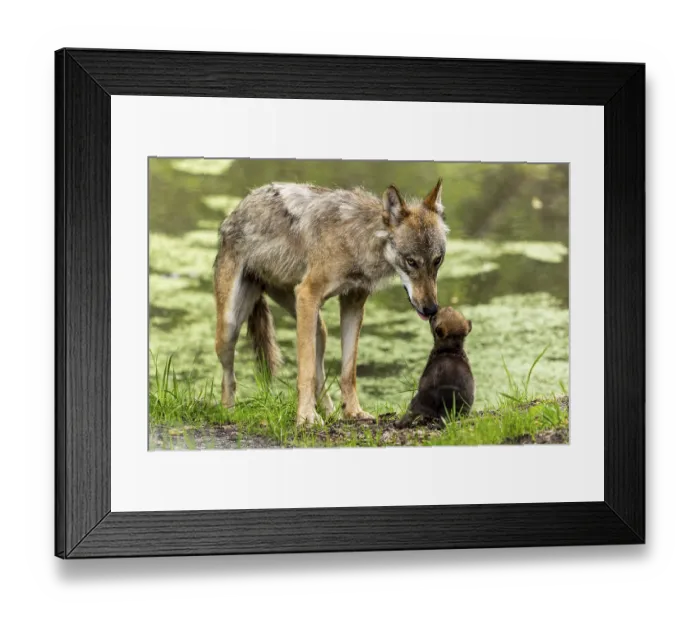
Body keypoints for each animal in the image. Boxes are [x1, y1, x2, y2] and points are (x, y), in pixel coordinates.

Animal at [213, 178, 448, 426]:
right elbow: (305, 372)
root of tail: (236, 212)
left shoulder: (353, 305)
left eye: (437, 261)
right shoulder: (307, 294)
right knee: (229, 378)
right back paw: (228, 412)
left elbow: (348, 372)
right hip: (230, 329)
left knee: (321, 374)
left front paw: (353, 412)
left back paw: (329, 411)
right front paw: (305, 418)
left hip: (316, 326)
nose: (431, 309)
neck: (356, 238)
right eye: (411, 262)